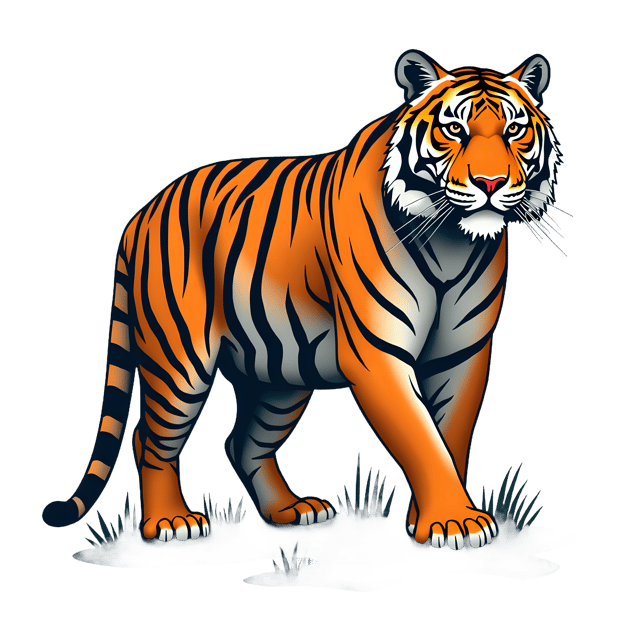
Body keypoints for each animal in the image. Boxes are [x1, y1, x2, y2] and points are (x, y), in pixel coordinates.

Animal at [42, 50, 566, 551]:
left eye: (515, 130)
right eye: (454, 129)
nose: (490, 183)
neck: (453, 242)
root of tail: (142, 213)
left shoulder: (463, 351)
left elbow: (450, 436)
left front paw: (430, 520)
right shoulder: (378, 354)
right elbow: (421, 437)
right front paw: (455, 522)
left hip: (280, 372)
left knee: (243, 443)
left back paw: (289, 510)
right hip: (180, 361)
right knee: (148, 437)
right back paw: (170, 522)